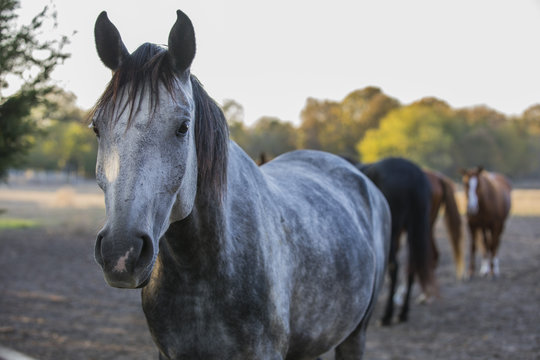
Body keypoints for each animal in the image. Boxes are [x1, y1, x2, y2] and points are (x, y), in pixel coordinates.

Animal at [346, 156, 434, 324]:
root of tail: (414, 174)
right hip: (414, 226)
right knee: (411, 265)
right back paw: (402, 313)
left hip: (392, 230)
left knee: (394, 266)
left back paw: (387, 315)